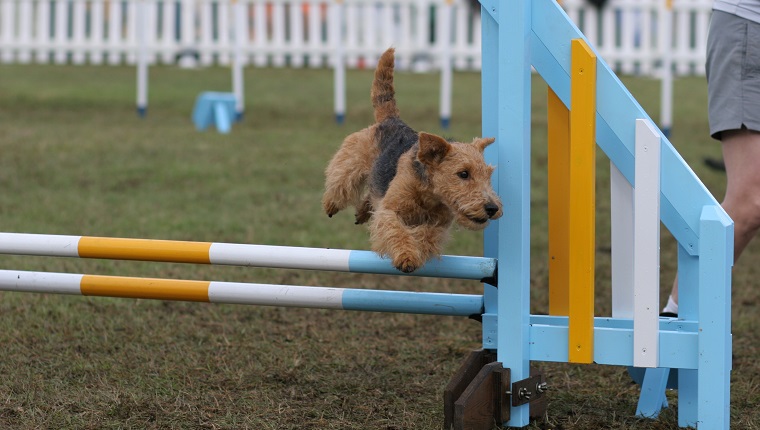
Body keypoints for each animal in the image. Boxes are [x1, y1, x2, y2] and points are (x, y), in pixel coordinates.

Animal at [322, 47, 504, 272]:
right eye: (463, 173)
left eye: (488, 176)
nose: (492, 208)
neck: (429, 195)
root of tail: (392, 119)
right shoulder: (390, 212)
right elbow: (397, 232)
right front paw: (407, 256)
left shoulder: (438, 225)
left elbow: (426, 236)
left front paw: (417, 248)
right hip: (351, 162)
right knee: (340, 182)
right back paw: (331, 205)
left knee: (372, 195)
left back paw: (363, 211)